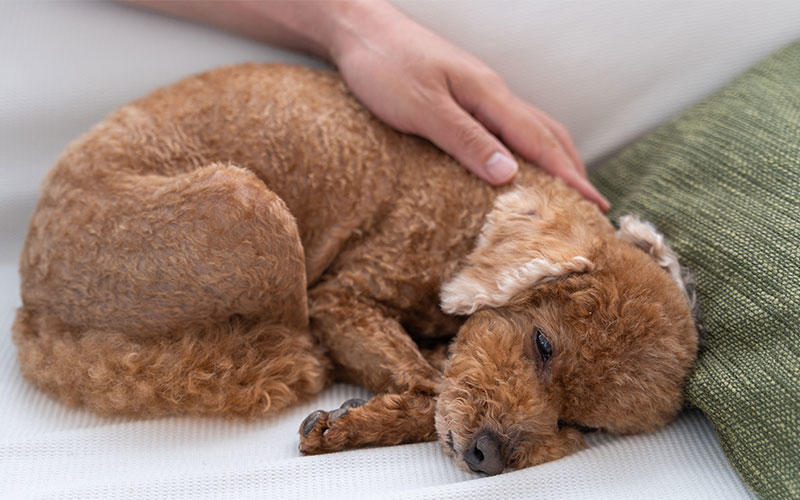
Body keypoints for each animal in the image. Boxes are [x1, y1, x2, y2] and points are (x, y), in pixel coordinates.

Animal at [15, 64, 696, 474]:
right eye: (543, 343)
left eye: (579, 422)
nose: (486, 455)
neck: (469, 219)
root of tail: (33, 300)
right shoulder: (341, 299)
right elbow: (428, 387)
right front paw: (353, 421)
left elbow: (434, 389)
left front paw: (357, 421)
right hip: (250, 207)